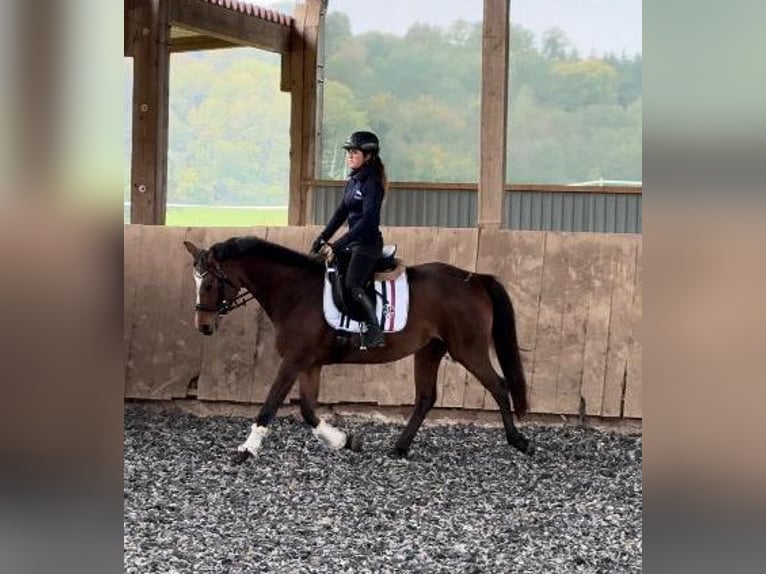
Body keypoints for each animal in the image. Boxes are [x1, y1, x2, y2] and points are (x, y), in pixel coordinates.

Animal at [185, 236, 536, 466]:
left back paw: (519, 442)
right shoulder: (309, 364)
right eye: (196, 283)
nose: (203, 326)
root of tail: (473, 279)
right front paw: (343, 441)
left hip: (468, 348)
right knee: (426, 397)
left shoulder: (294, 360)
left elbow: (271, 404)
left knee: (498, 385)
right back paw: (399, 448)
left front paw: (246, 449)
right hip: (429, 349)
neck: (295, 291)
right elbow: (307, 409)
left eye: (210, 284)